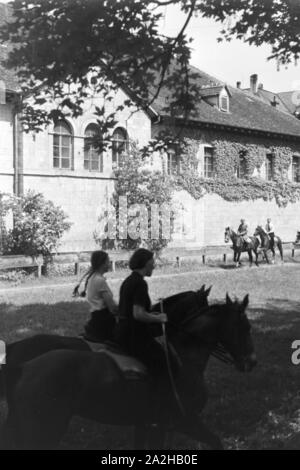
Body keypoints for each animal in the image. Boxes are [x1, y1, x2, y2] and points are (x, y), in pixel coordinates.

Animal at [1, 292, 256, 450]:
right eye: (245, 326)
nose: (251, 362)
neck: (183, 359)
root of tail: (23, 367)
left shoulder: (147, 424)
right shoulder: (180, 421)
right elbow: (215, 441)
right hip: (44, 430)